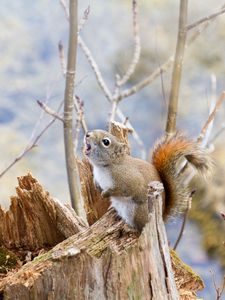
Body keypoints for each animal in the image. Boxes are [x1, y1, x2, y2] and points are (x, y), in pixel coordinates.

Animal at [83, 129, 213, 232]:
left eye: (106, 142)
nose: (87, 134)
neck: (105, 166)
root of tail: (161, 218)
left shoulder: (128, 180)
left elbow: (123, 190)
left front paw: (106, 193)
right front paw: (97, 185)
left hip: (137, 212)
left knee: (140, 229)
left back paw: (130, 228)